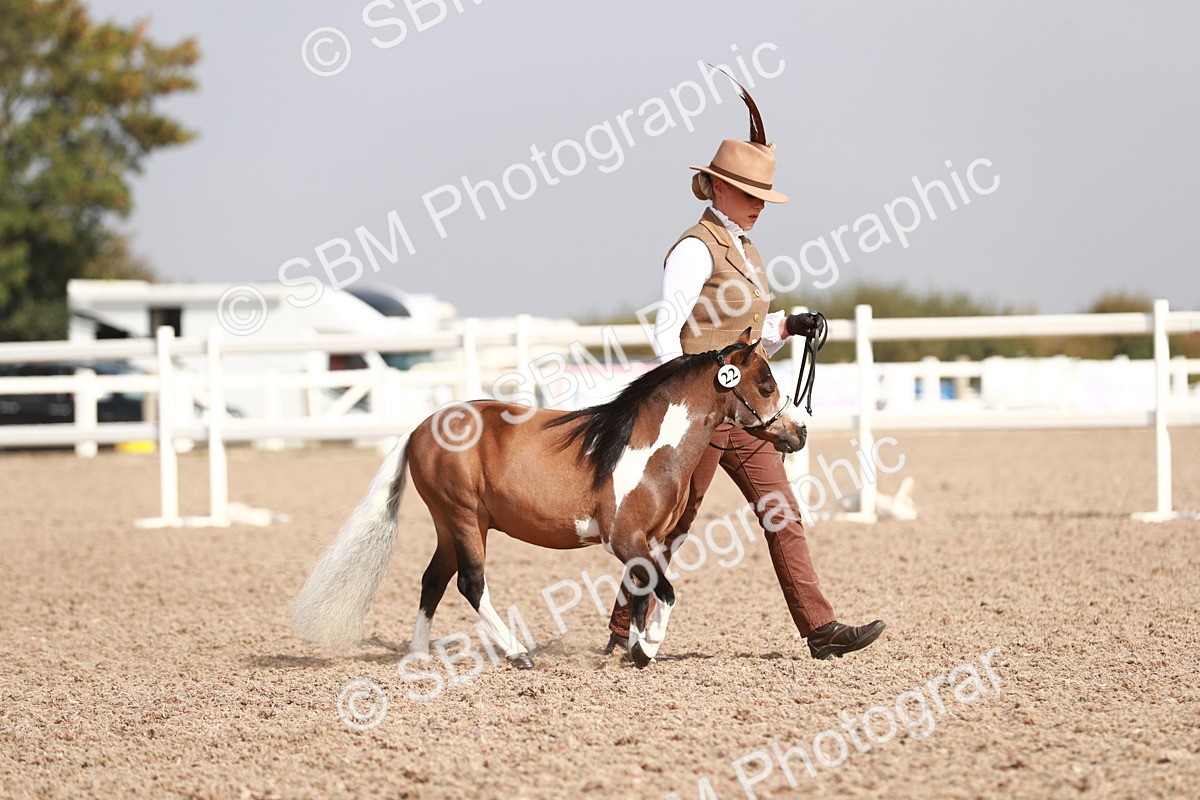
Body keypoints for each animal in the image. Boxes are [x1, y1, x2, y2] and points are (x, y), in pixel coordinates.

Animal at [291, 328, 806, 669]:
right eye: (766, 384)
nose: (798, 432)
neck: (645, 447)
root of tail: (421, 426)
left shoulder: (650, 543)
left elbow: (642, 595)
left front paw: (634, 652)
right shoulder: (624, 540)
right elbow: (666, 593)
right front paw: (647, 649)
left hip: (451, 525)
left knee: (432, 580)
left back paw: (419, 656)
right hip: (463, 519)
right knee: (470, 585)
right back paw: (518, 653)